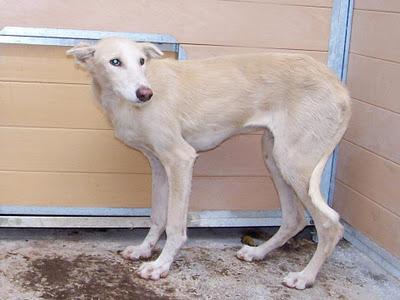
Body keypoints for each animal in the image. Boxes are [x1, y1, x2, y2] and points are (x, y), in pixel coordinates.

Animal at [67, 37, 352, 288]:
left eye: (141, 61)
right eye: (115, 62)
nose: (145, 94)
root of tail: (340, 87)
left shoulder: (180, 159)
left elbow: (174, 225)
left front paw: (160, 265)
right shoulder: (158, 165)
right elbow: (158, 216)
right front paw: (144, 249)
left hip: (294, 163)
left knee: (330, 225)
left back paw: (305, 277)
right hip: (274, 157)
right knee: (295, 218)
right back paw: (258, 253)